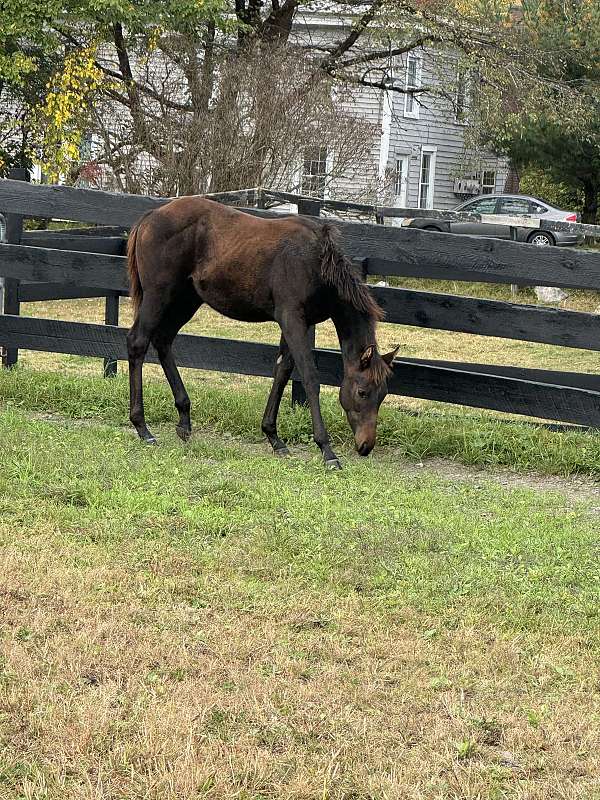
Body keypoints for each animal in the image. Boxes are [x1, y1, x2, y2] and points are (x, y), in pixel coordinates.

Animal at [126, 195, 398, 468]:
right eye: (362, 392)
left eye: (383, 394)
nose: (365, 446)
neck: (316, 261)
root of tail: (150, 216)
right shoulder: (292, 319)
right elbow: (310, 377)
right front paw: (327, 450)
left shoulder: (298, 322)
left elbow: (282, 371)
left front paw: (274, 438)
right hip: (158, 295)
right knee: (138, 342)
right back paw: (143, 428)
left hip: (186, 300)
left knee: (163, 340)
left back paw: (183, 420)